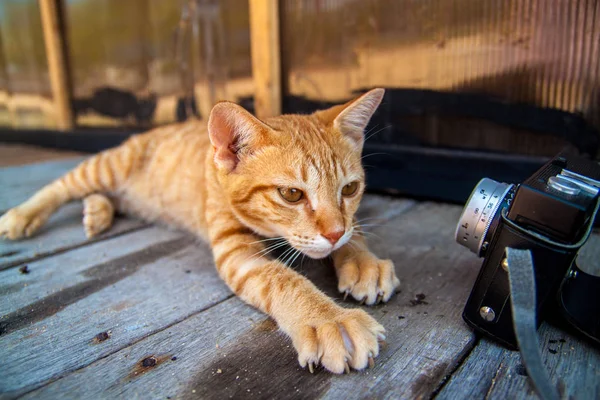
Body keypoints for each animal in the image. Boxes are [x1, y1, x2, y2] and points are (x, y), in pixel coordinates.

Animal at [3, 88, 404, 376]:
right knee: (62, 186)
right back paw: (22, 215)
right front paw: (330, 320)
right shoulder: (236, 253)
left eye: (350, 190)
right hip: (105, 167)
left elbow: (354, 233)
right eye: (291, 194)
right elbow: (284, 280)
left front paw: (362, 261)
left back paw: (97, 211)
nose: (334, 234)